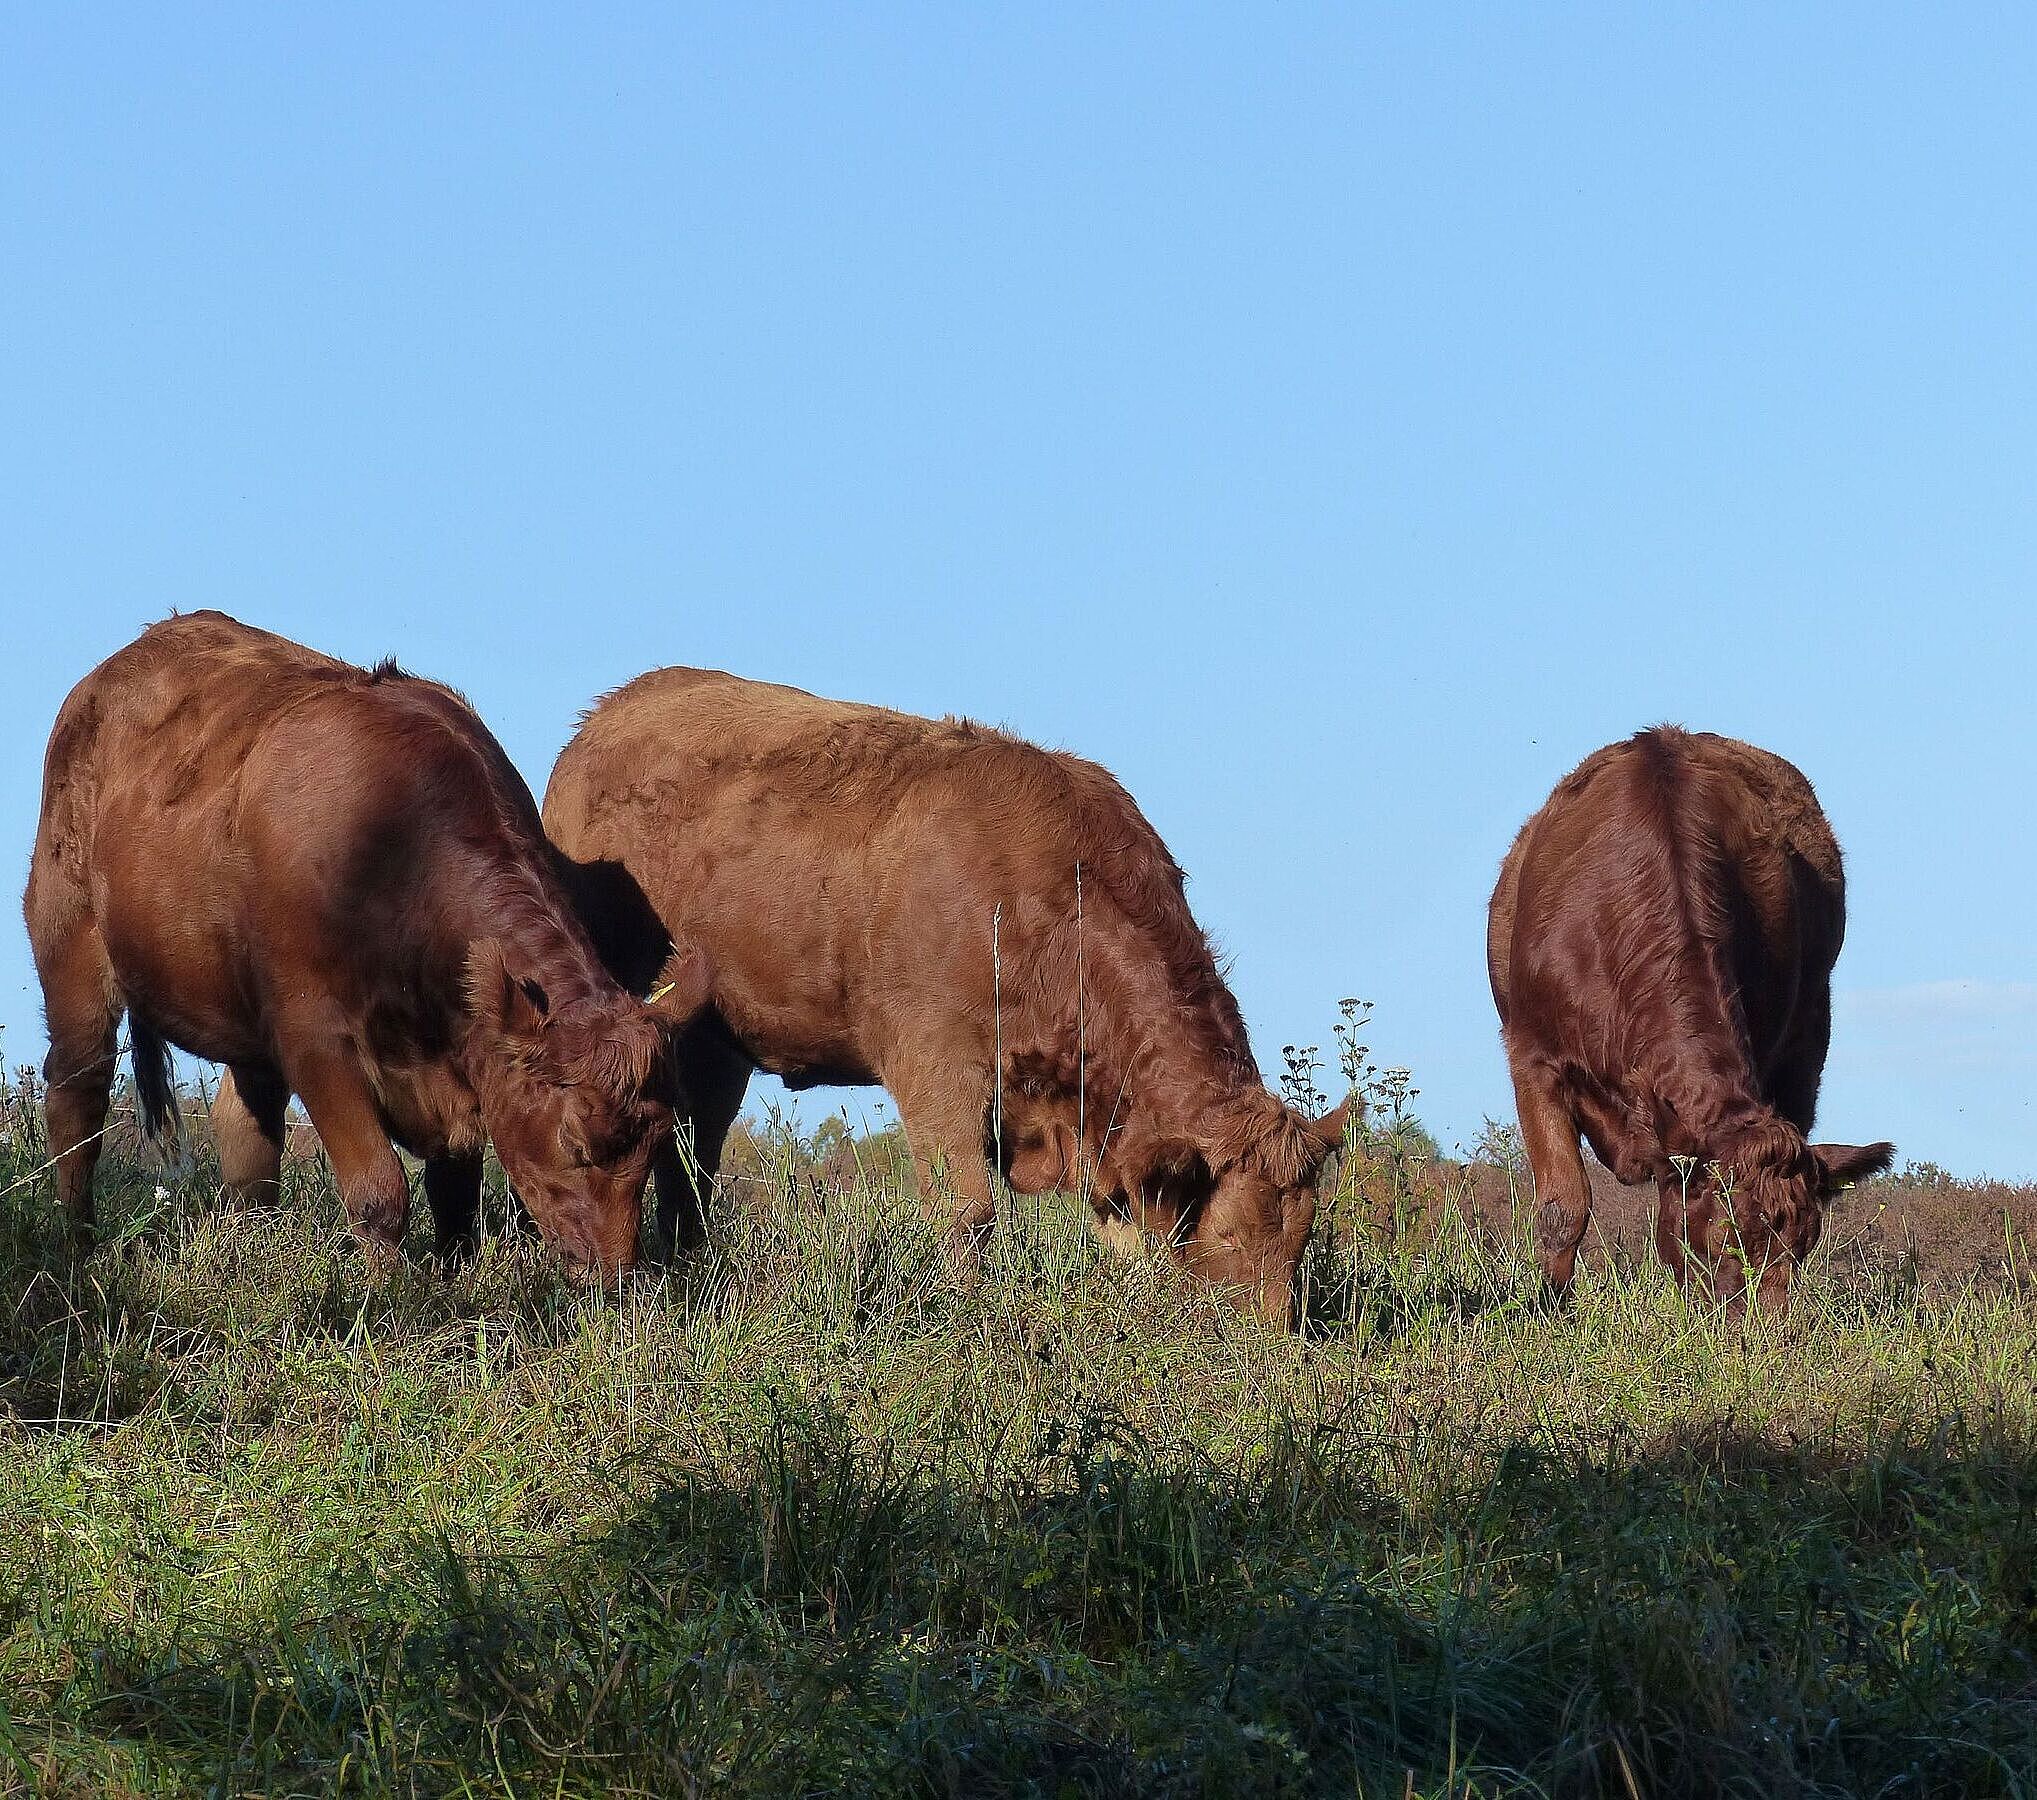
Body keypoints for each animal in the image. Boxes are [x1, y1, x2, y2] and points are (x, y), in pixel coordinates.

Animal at [19, 619, 708, 1278]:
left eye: (657, 1144)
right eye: (574, 1142)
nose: (613, 1277)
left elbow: (454, 1192)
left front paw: (452, 1286)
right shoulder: (313, 1034)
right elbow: (380, 1189)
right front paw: (387, 1301)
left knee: (246, 1129)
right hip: (71, 949)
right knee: (78, 1092)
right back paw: (78, 1253)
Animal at [541, 671, 1352, 1319]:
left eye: (1301, 1235)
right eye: (1231, 1232)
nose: (1269, 1343)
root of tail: (603, 718)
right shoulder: (935, 1067)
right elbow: (968, 1212)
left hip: (712, 1043)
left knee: (693, 1162)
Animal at [1482, 728, 1890, 1311]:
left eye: (1802, 1247)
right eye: (1724, 1239)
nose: (1762, 1328)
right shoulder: (1534, 1059)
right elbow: (1565, 1207)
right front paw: (1551, 1311)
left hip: (1811, 1032)